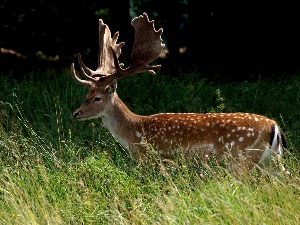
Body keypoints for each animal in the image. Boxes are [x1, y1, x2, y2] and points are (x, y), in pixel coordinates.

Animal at [70, 12, 286, 174]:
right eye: (86, 94)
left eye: (97, 98)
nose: (76, 113)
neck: (134, 132)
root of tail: (274, 127)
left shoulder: (154, 159)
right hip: (271, 160)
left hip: (242, 158)